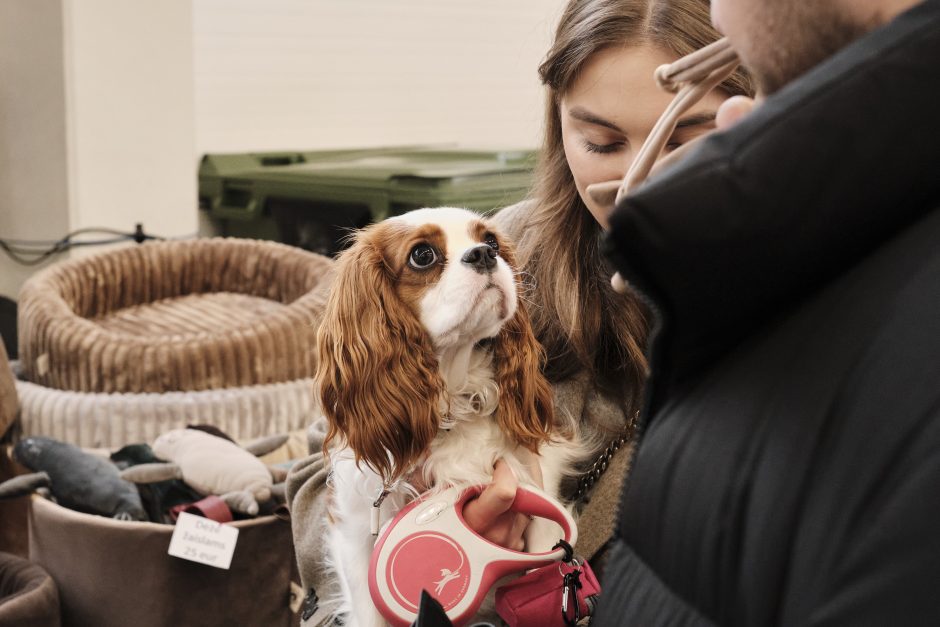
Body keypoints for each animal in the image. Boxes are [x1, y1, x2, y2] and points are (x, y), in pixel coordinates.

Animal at [314, 209, 580, 624]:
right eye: (422, 255)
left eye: (491, 241)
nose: (484, 254)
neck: (450, 401)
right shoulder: (355, 531)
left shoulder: (539, 506)